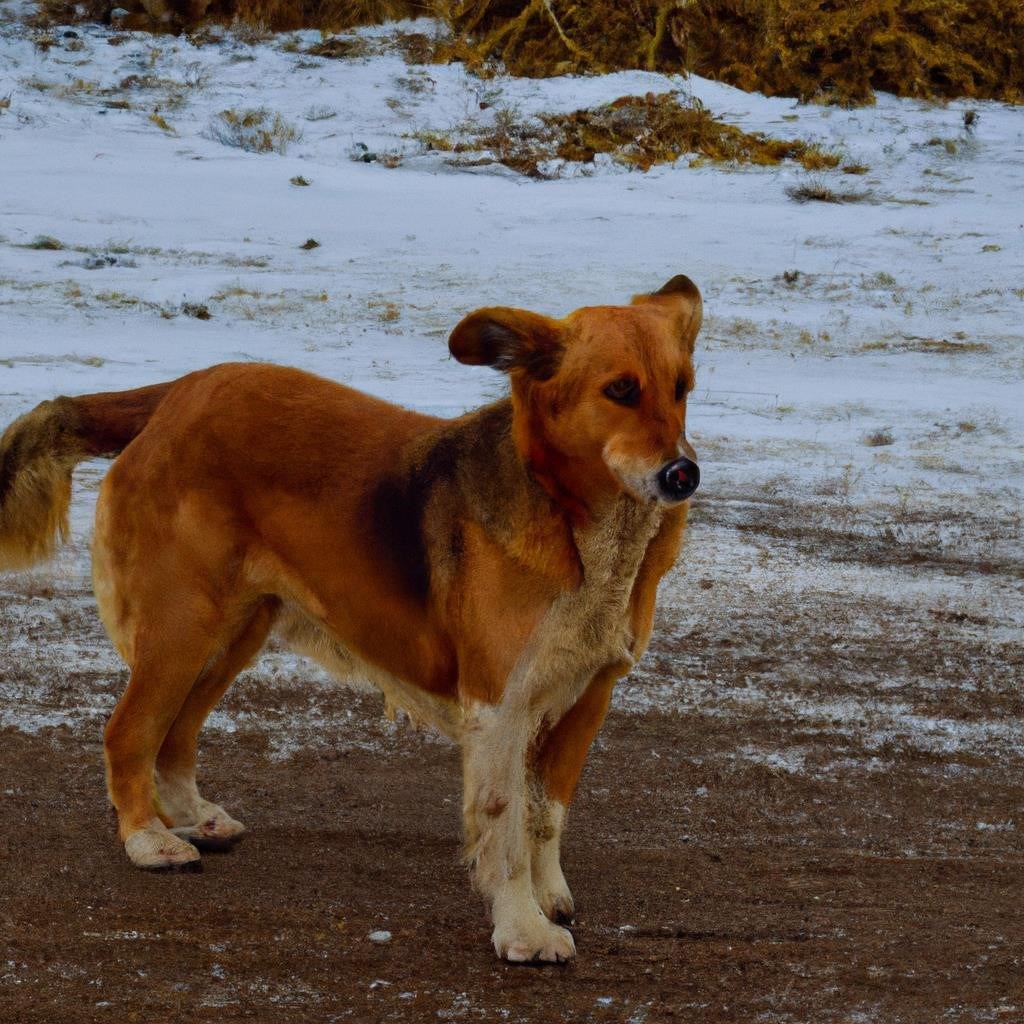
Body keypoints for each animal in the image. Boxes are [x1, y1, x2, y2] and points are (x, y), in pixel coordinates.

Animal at [0, 276, 700, 962]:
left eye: (683, 388)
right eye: (620, 391)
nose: (683, 474)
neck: (579, 522)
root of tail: (174, 394)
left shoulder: (589, 695)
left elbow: (546, 813)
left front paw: (548, 895)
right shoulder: (499, 703)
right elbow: (503, 822)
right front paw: (522, 930)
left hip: (233, 632)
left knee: (175, 731)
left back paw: (193, 817)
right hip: (184, 626)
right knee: (129, 731)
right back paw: (147, 840)